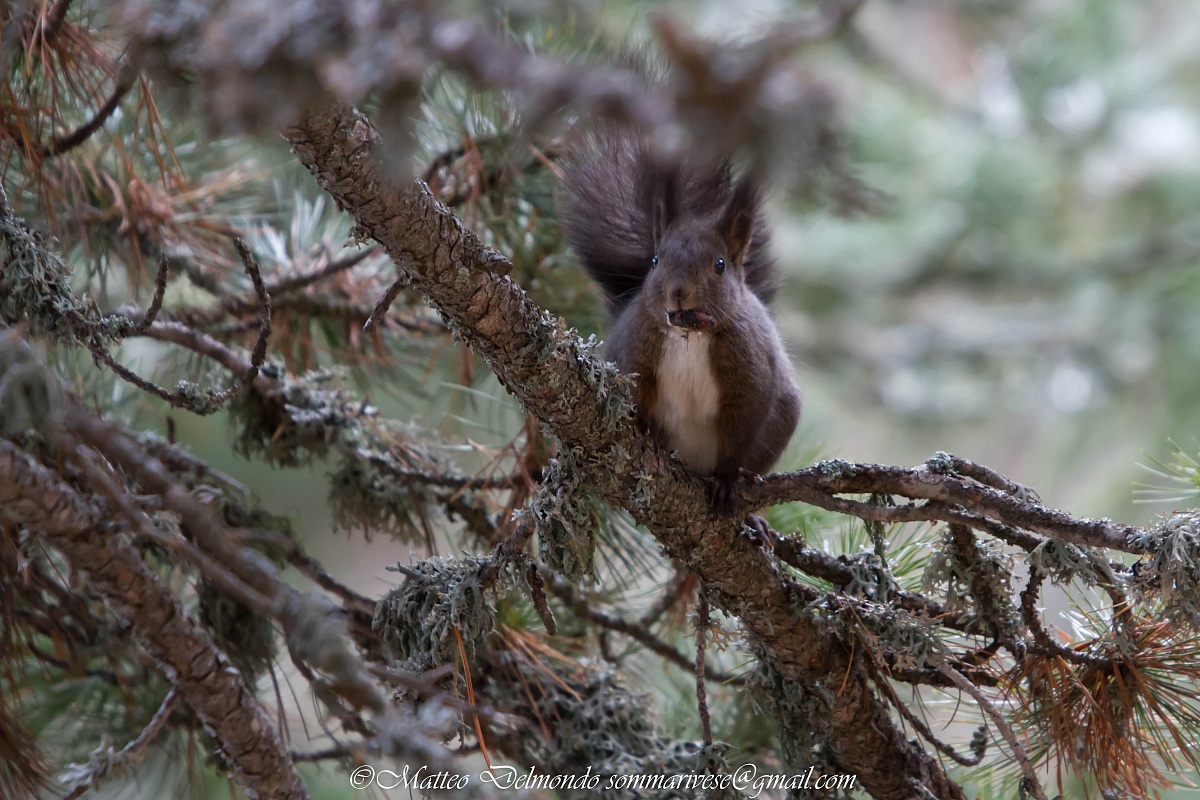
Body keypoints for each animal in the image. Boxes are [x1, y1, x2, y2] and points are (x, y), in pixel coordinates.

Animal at [562, 129, 801, 525]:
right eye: (656, 260)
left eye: (719, 265)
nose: (677, 293)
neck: (690, 334)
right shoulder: (636, 347)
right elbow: (636, 386)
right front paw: (639, 425)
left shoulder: (749, 371)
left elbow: (743, 423)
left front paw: (727, 480)